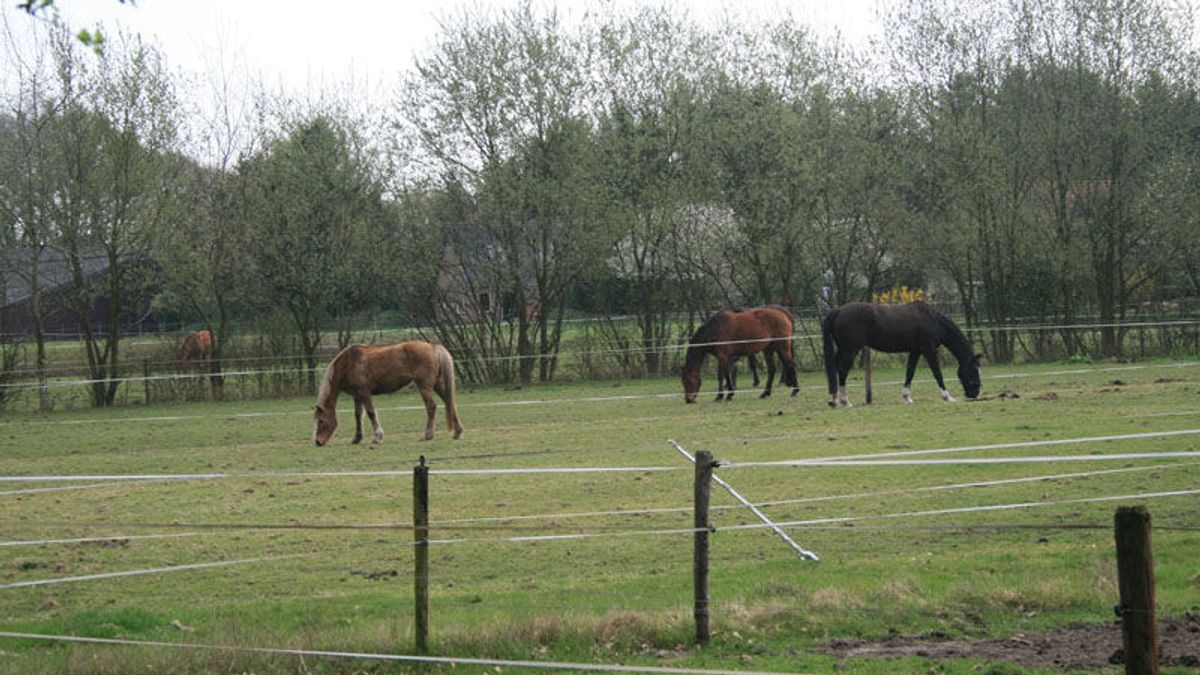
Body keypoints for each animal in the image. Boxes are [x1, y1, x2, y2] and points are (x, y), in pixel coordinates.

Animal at [312, 341, 463, 446]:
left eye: (321, 421)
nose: (318, 442)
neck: (349, 363)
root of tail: (433, 346)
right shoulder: (357, 396)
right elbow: (358, 415)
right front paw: (357, 438)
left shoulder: (365, 393)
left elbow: (371, 413)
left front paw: (378, 437)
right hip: (437, 384)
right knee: (449, 402)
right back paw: (457, 432)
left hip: (424, 386)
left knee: (431, 407)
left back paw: (428, 435)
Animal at [822, 301, 981, 407]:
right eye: (974, 370)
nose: (975, 394)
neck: (931, 319)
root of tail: (839, 310)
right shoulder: (929, 350)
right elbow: (937, 373)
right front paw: (947, 397)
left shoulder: (915, 351)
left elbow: (910, 372)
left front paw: (907, 398)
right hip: (850, 350)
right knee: (843, 370)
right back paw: (845, 401)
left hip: (842, 349)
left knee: (834, 368)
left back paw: (833, 400)